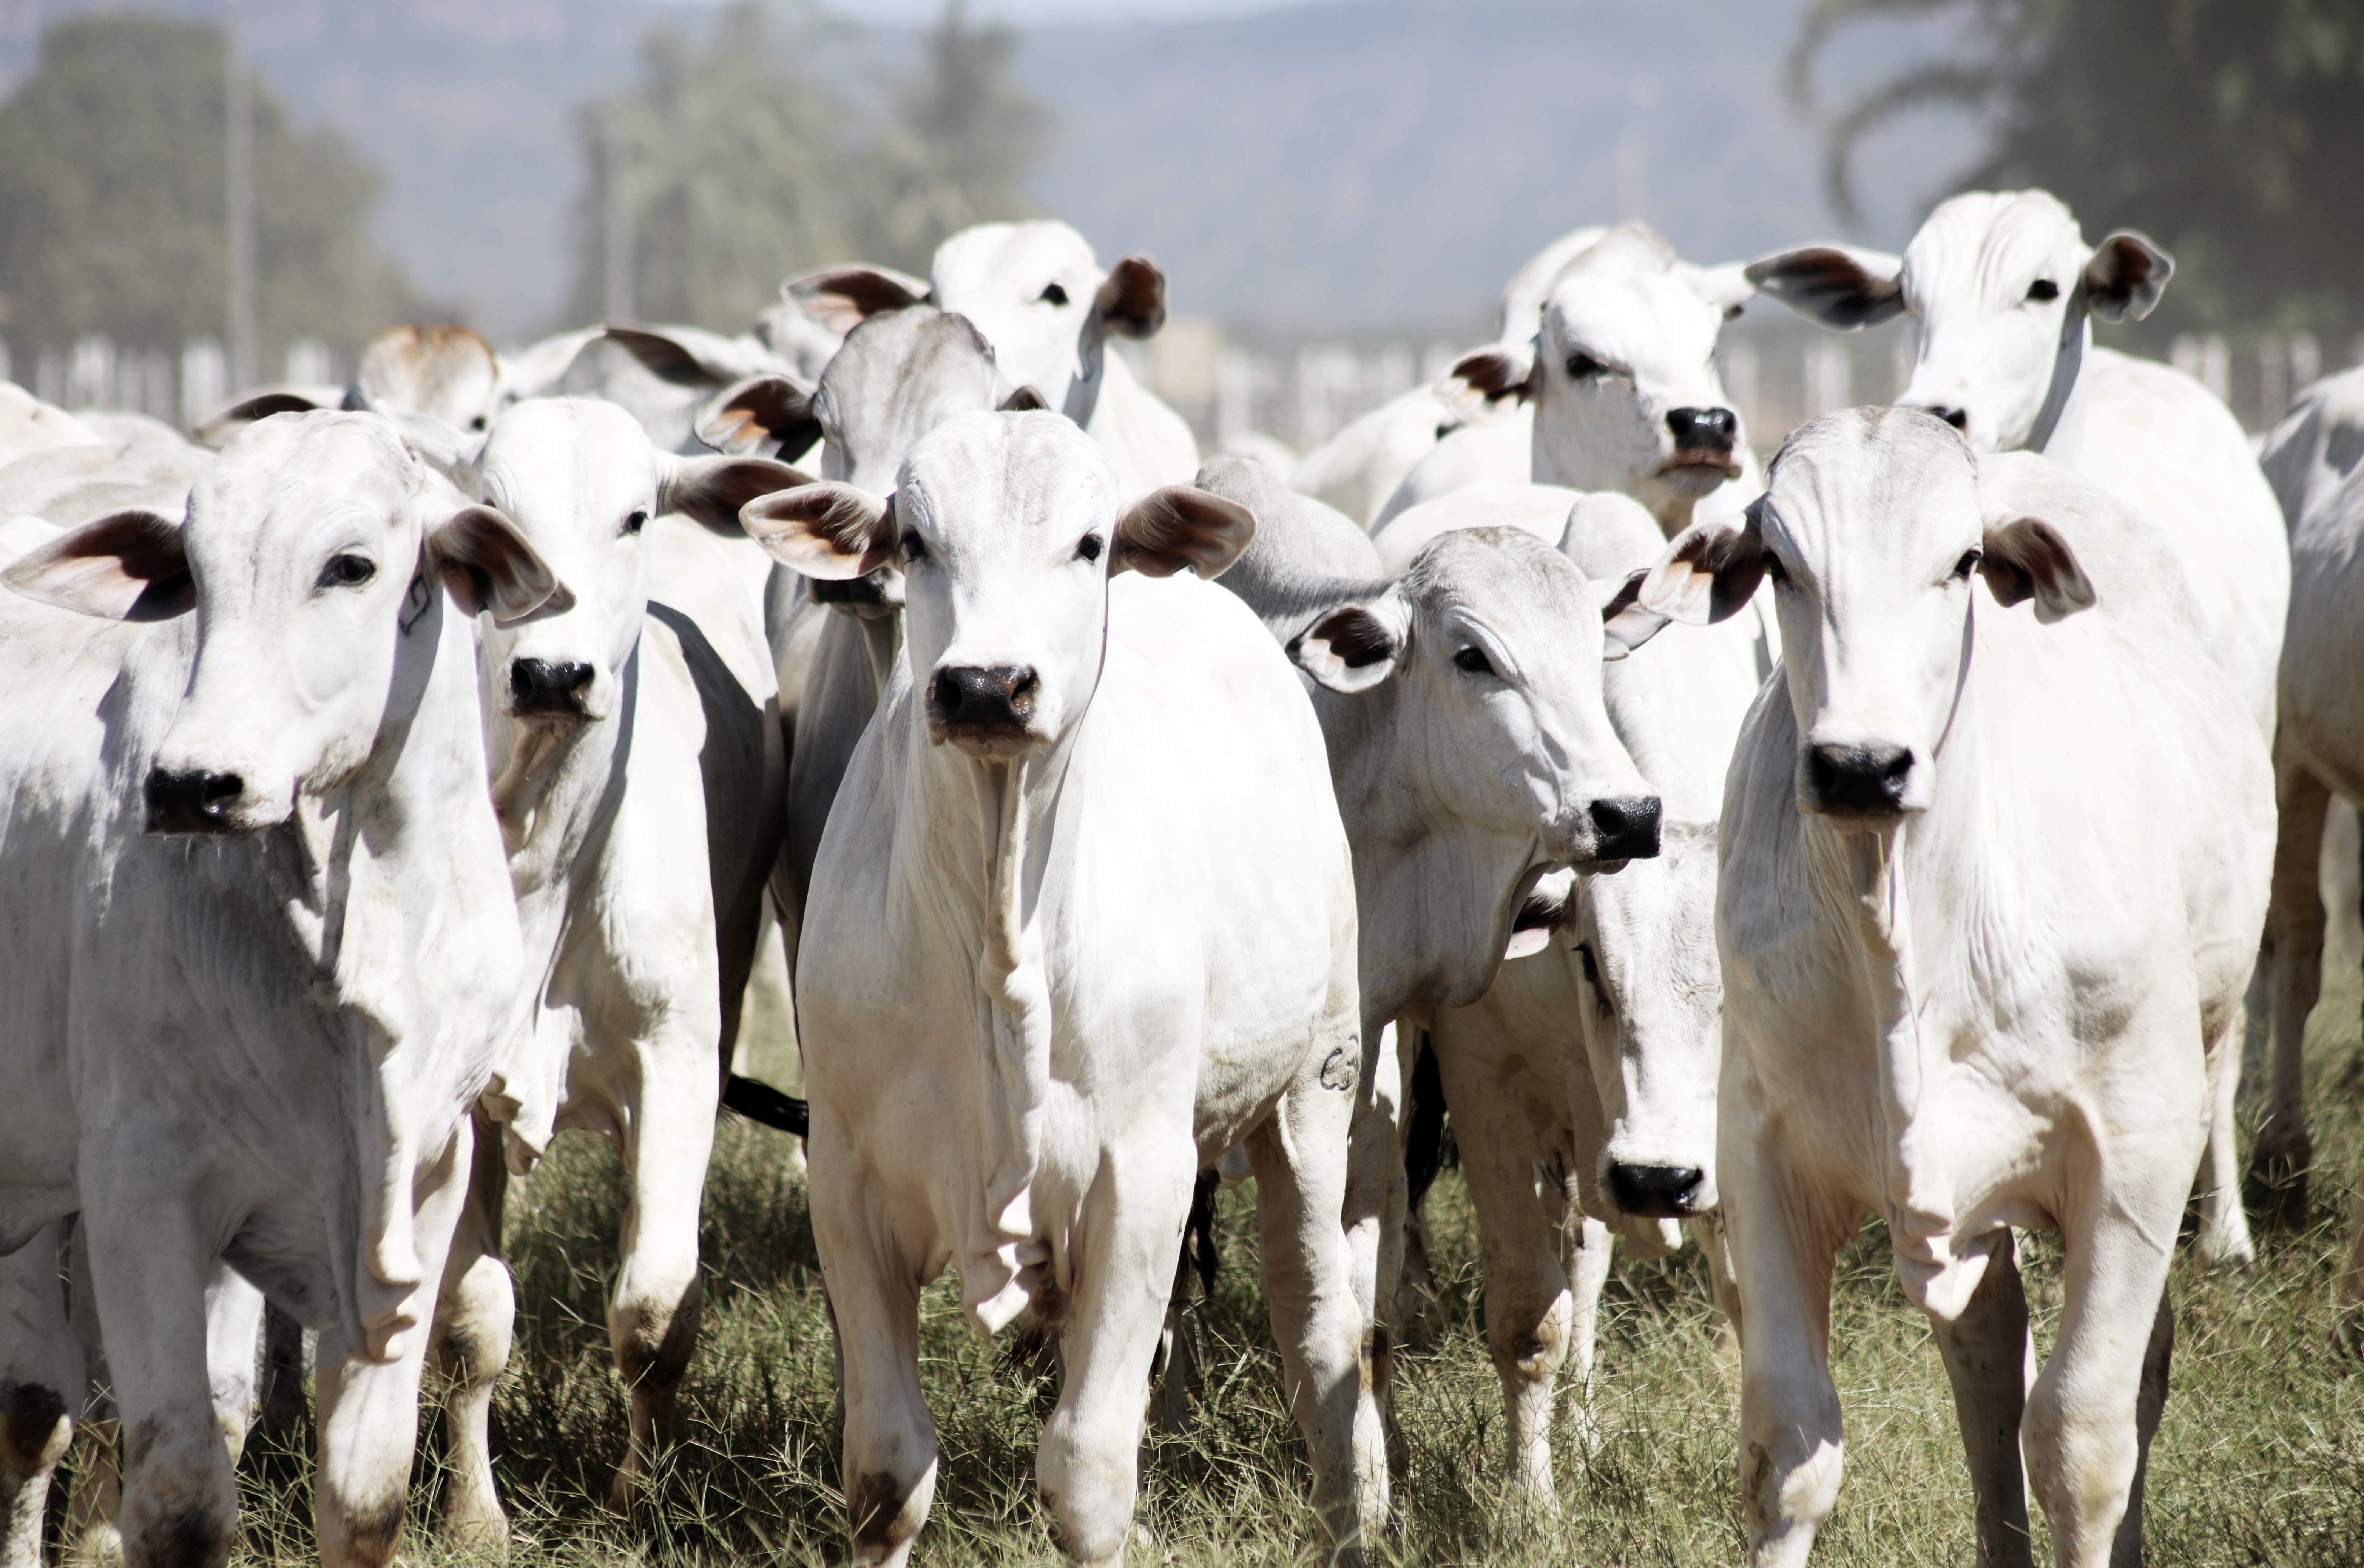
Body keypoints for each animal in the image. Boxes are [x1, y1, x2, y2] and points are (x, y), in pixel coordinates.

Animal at [0, 407, 558, 1568]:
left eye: (351, 565)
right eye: (195, 570)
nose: (192, 785)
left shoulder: (420, 1191)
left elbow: (367, 1494)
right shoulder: (141, 1191)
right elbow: (178, 1504)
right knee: (32, 1417)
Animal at [411, 400, 799, 1542]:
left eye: (634, 516)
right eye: (493, 511)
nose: (551, 675)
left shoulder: (677, 1067)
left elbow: (654, 1307)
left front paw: (644, 1499)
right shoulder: (455, 1100)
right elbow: (470, 1323)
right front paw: (475, 1522)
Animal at [747, 411, 1380, 1561]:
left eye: (1088, 544)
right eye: (914, 540)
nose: (986, 686)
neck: (1000, 946)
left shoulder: (1141, 1182)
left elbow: (1087, 1473)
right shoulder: (847, 1182)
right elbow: (886, 1469)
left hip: (1317, 1086)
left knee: (1319, 1333)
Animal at [1645, 414, 2269, 1568]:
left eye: (1963, 563)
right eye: (1781, 565)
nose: (1859, 764)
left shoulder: (2133, 1156)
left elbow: (2080, 1441)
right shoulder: (1761, 1150)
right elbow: (1789, 1443)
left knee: (2128, 1370)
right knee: (1985, 1358)